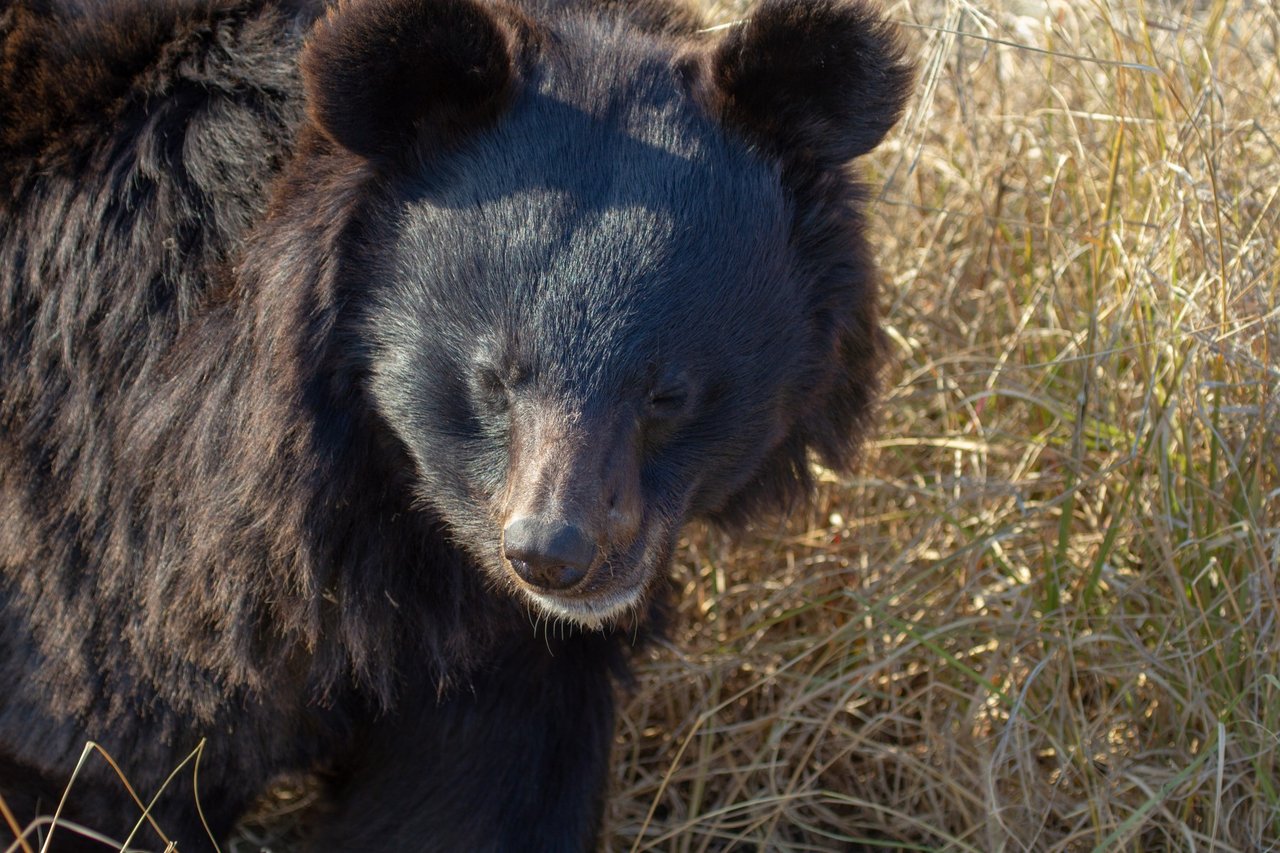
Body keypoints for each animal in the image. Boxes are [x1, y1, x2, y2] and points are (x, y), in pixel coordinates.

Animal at [2, 0, 921, 845]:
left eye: (666, 393)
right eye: (493, 379)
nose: (553, 555)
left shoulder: (511, 656)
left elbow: (482, 791)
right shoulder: (110, 539)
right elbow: (104, 752)